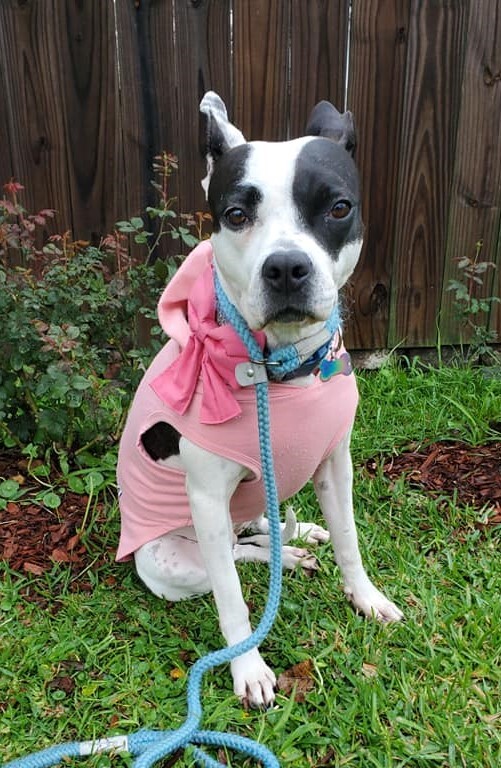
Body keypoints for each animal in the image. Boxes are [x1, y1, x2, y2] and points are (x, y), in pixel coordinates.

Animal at [115, 93, 400, 712]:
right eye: (237, 215)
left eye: (338, 207)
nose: (287, 267)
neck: (285, 371)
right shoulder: (205, 498)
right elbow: (234, 601)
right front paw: (248, 669)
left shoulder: (335, 465)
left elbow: (350, 540)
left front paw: (364, 596)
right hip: (175, 563)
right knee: (236, 558)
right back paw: (285, 554)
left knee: (258, 531)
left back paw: (297, 538)